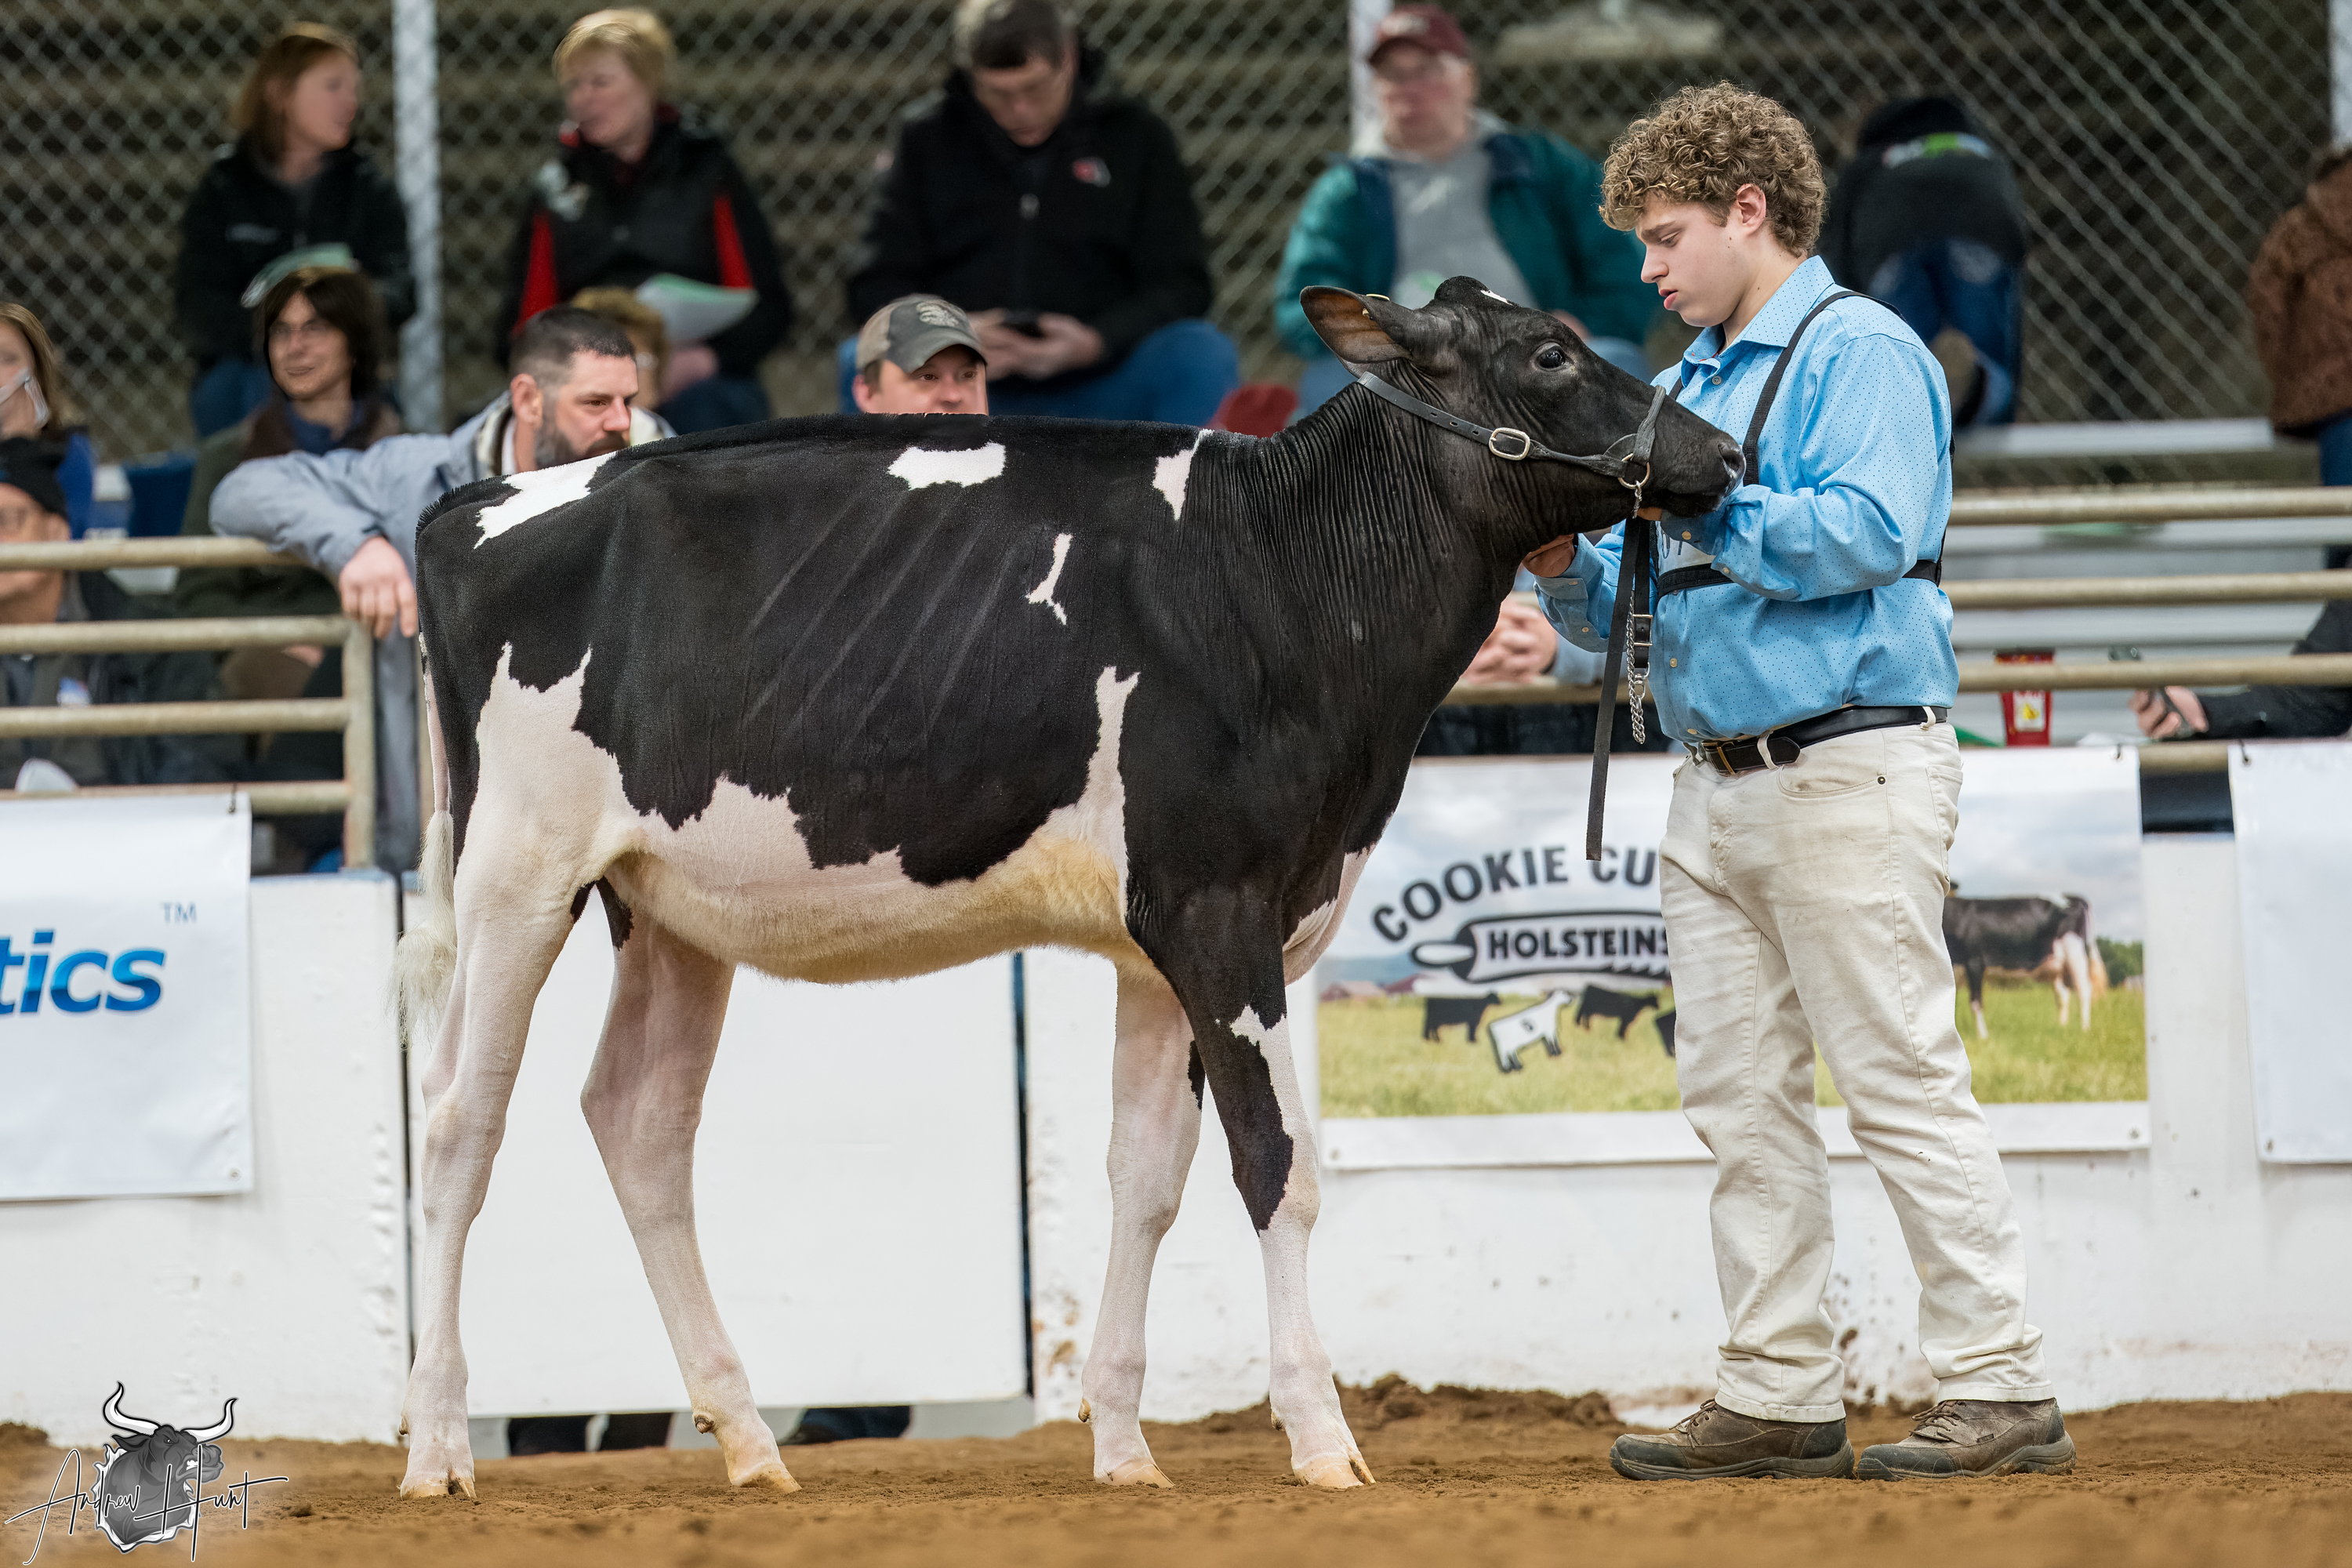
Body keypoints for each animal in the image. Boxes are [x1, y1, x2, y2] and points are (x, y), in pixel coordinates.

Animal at [387, 275, 1741, 1501]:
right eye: (1551, 353)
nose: (1724, 453)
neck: (1279, 577)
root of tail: (469, 507)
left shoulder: (1166, 943)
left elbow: (1145, 1178)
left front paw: (1125, 1446)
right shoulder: (1221, 907)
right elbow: (1279, 1165)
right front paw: (1321, 1436)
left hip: (669, 909)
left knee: (640, 1122)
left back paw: (749, 1439)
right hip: (518, 871)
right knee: (460, 1120)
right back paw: (439, 1447)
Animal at [1941, 894, 2103, 1039]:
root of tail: (2074, 897)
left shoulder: (1974, 962)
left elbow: (1976, 1003)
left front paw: (1983, 1036)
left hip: (2075, 953)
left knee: (2084, 990)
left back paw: (2084, 1030)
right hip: (2058, 965)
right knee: (2063, 995)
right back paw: (2061, 1028)